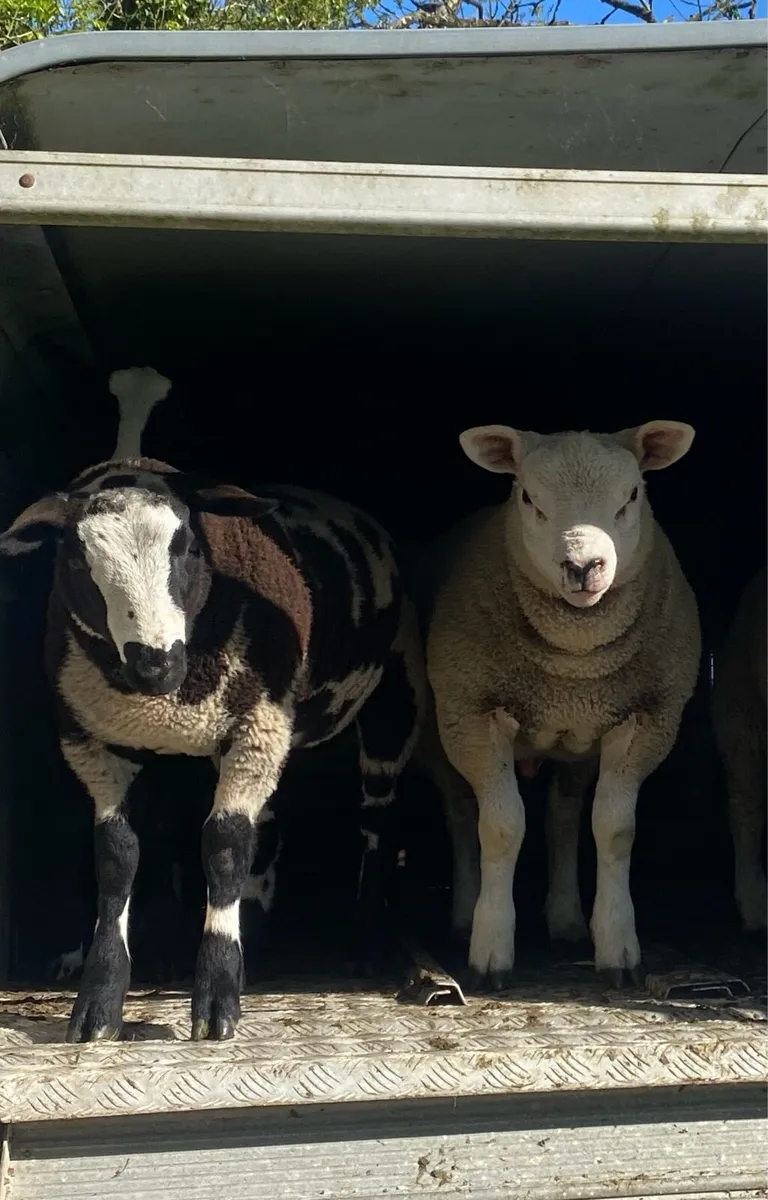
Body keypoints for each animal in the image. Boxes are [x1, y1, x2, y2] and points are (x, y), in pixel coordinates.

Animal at [0, 367, 424, 1041]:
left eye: (189, 547)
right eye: (78, 560)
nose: (155, 662)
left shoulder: (254, 726)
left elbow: (223, 845)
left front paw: (218, 998)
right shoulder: (95, 740)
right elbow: (118, 856)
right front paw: (99, 1001)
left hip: (393, 696)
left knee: (375, 820)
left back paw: (361, 941)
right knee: (261, 828)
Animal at [416, 422, 700, 990]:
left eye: (632, 495)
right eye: (528, 497)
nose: (583, 566)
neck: (574, 665)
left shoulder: (646, 719)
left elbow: (613, 829)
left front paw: (618, 948)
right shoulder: (473, 714)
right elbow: (500, 828)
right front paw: (490, 950)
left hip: (578, 744)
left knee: (564, 816)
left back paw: (567, 921)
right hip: (440, 729)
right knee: (462, 813)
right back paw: (463, 917)